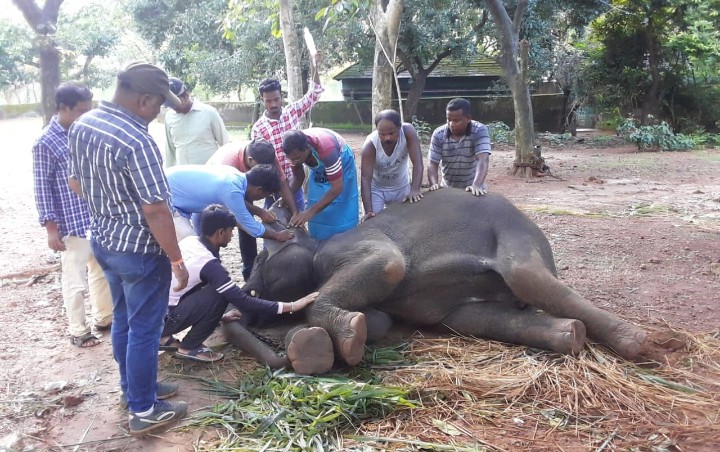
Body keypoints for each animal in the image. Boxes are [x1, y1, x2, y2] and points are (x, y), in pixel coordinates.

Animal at [224, 189, 648, 372]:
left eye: (259, 259)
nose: (244, 296)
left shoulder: (353, 245)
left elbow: (389, 265)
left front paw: (337, 339)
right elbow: (381, 320)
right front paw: (341, 338)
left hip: (516, 233)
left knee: (526, 276)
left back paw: (640, 344)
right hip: (468, 310)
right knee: (477, 319)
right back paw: (571, 335)